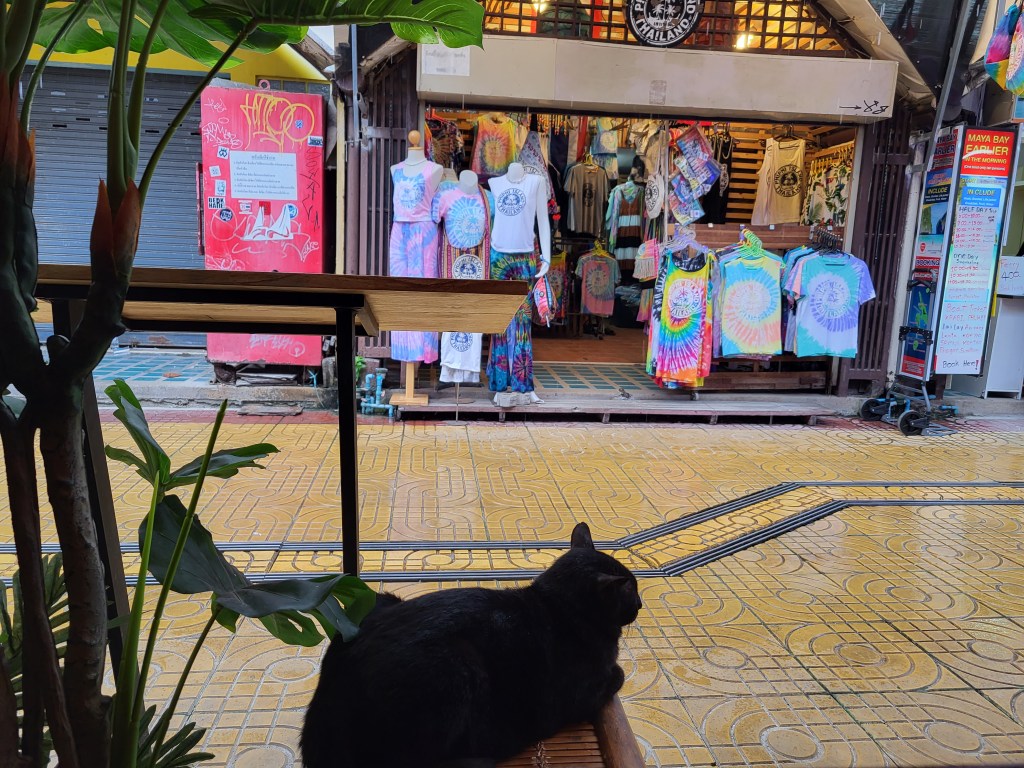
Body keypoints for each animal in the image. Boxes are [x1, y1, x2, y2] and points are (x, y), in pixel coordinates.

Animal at [300, 522, 642, 768]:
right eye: (632, 590)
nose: (640, 603)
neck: (555, 605)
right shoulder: (581, 694)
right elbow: (618, 674)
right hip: (457, 667)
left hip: (373, 605)